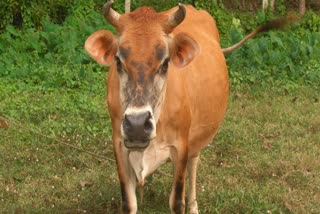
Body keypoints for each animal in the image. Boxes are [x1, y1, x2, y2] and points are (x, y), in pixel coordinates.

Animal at [85, 0, 290, 213]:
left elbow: (177, 201)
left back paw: (193, 205)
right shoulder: (119, 145)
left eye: (165, 62)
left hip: (196, 140)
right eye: (118, 61)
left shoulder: (180, 145)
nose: (137, 124)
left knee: (193, 166)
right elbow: (129, 203)